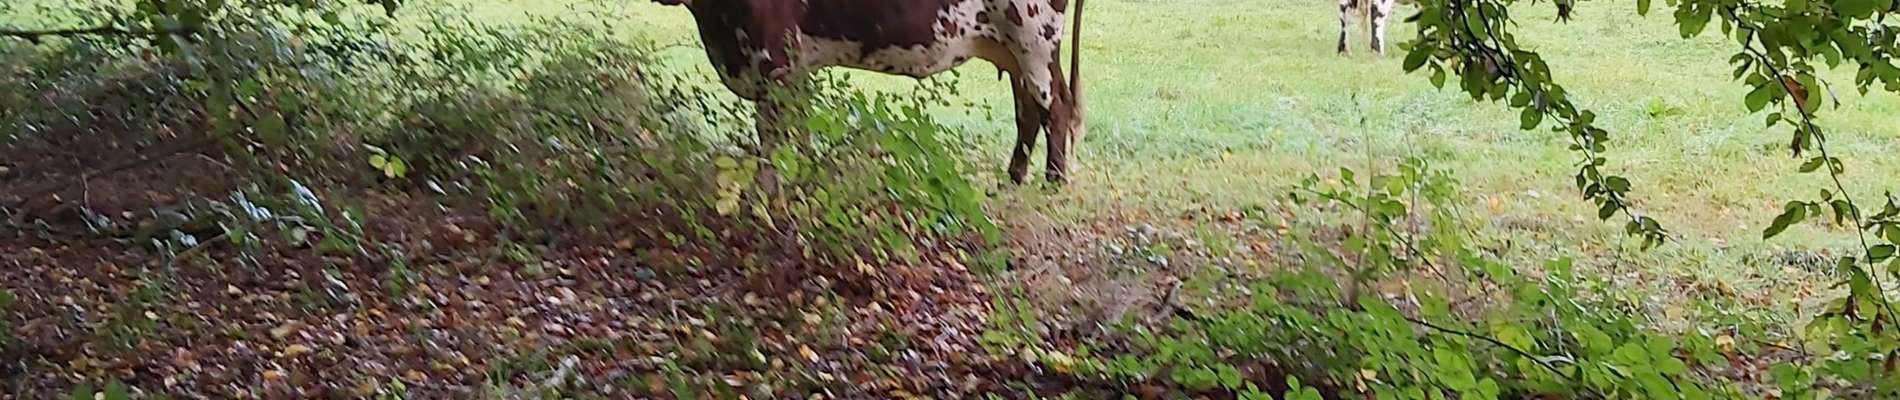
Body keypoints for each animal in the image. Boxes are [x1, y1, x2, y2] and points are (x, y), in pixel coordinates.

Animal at [651, 0, 1087, 184]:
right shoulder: (793, 68)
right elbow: (800, 134)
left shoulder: (771, 59)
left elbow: (773, 145)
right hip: (1011, 48)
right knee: (1029, 110)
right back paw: (1013, 179)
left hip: (1033, 37)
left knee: (1055, 107)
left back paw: (1053, 182)